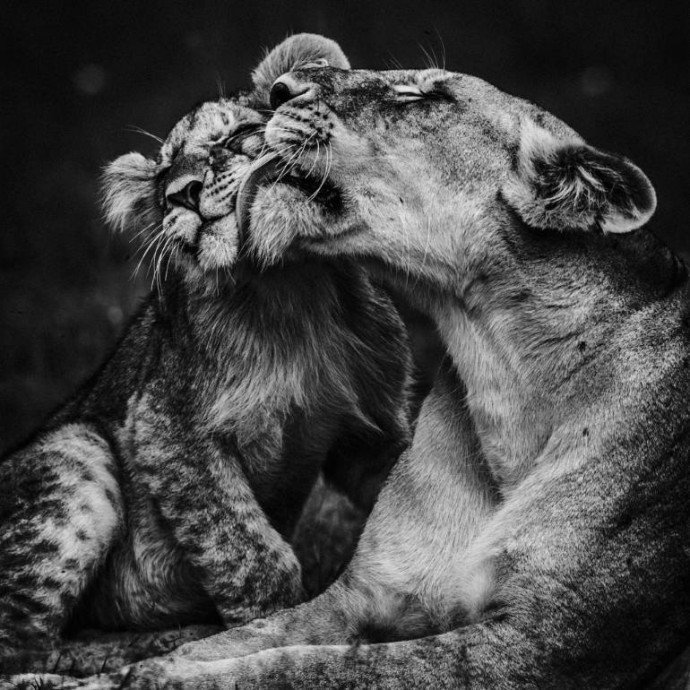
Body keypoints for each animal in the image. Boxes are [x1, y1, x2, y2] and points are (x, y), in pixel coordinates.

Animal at [0, 36, 412, 680]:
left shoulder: (373, 429)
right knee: (25, 648)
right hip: (78, 445)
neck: (286, 289)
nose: (182, 193)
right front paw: (267, 637)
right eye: (163, 174)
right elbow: (249, 555)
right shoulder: (165, 429)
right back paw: (163, 645)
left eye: (231, 136)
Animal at [92, 35, 690, 688]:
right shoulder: (362, 592)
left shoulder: (536, 646)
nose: (279, 91)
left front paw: (154, 679)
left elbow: (318, 669)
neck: (501, 377)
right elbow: (239, 641)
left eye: (420, 95)